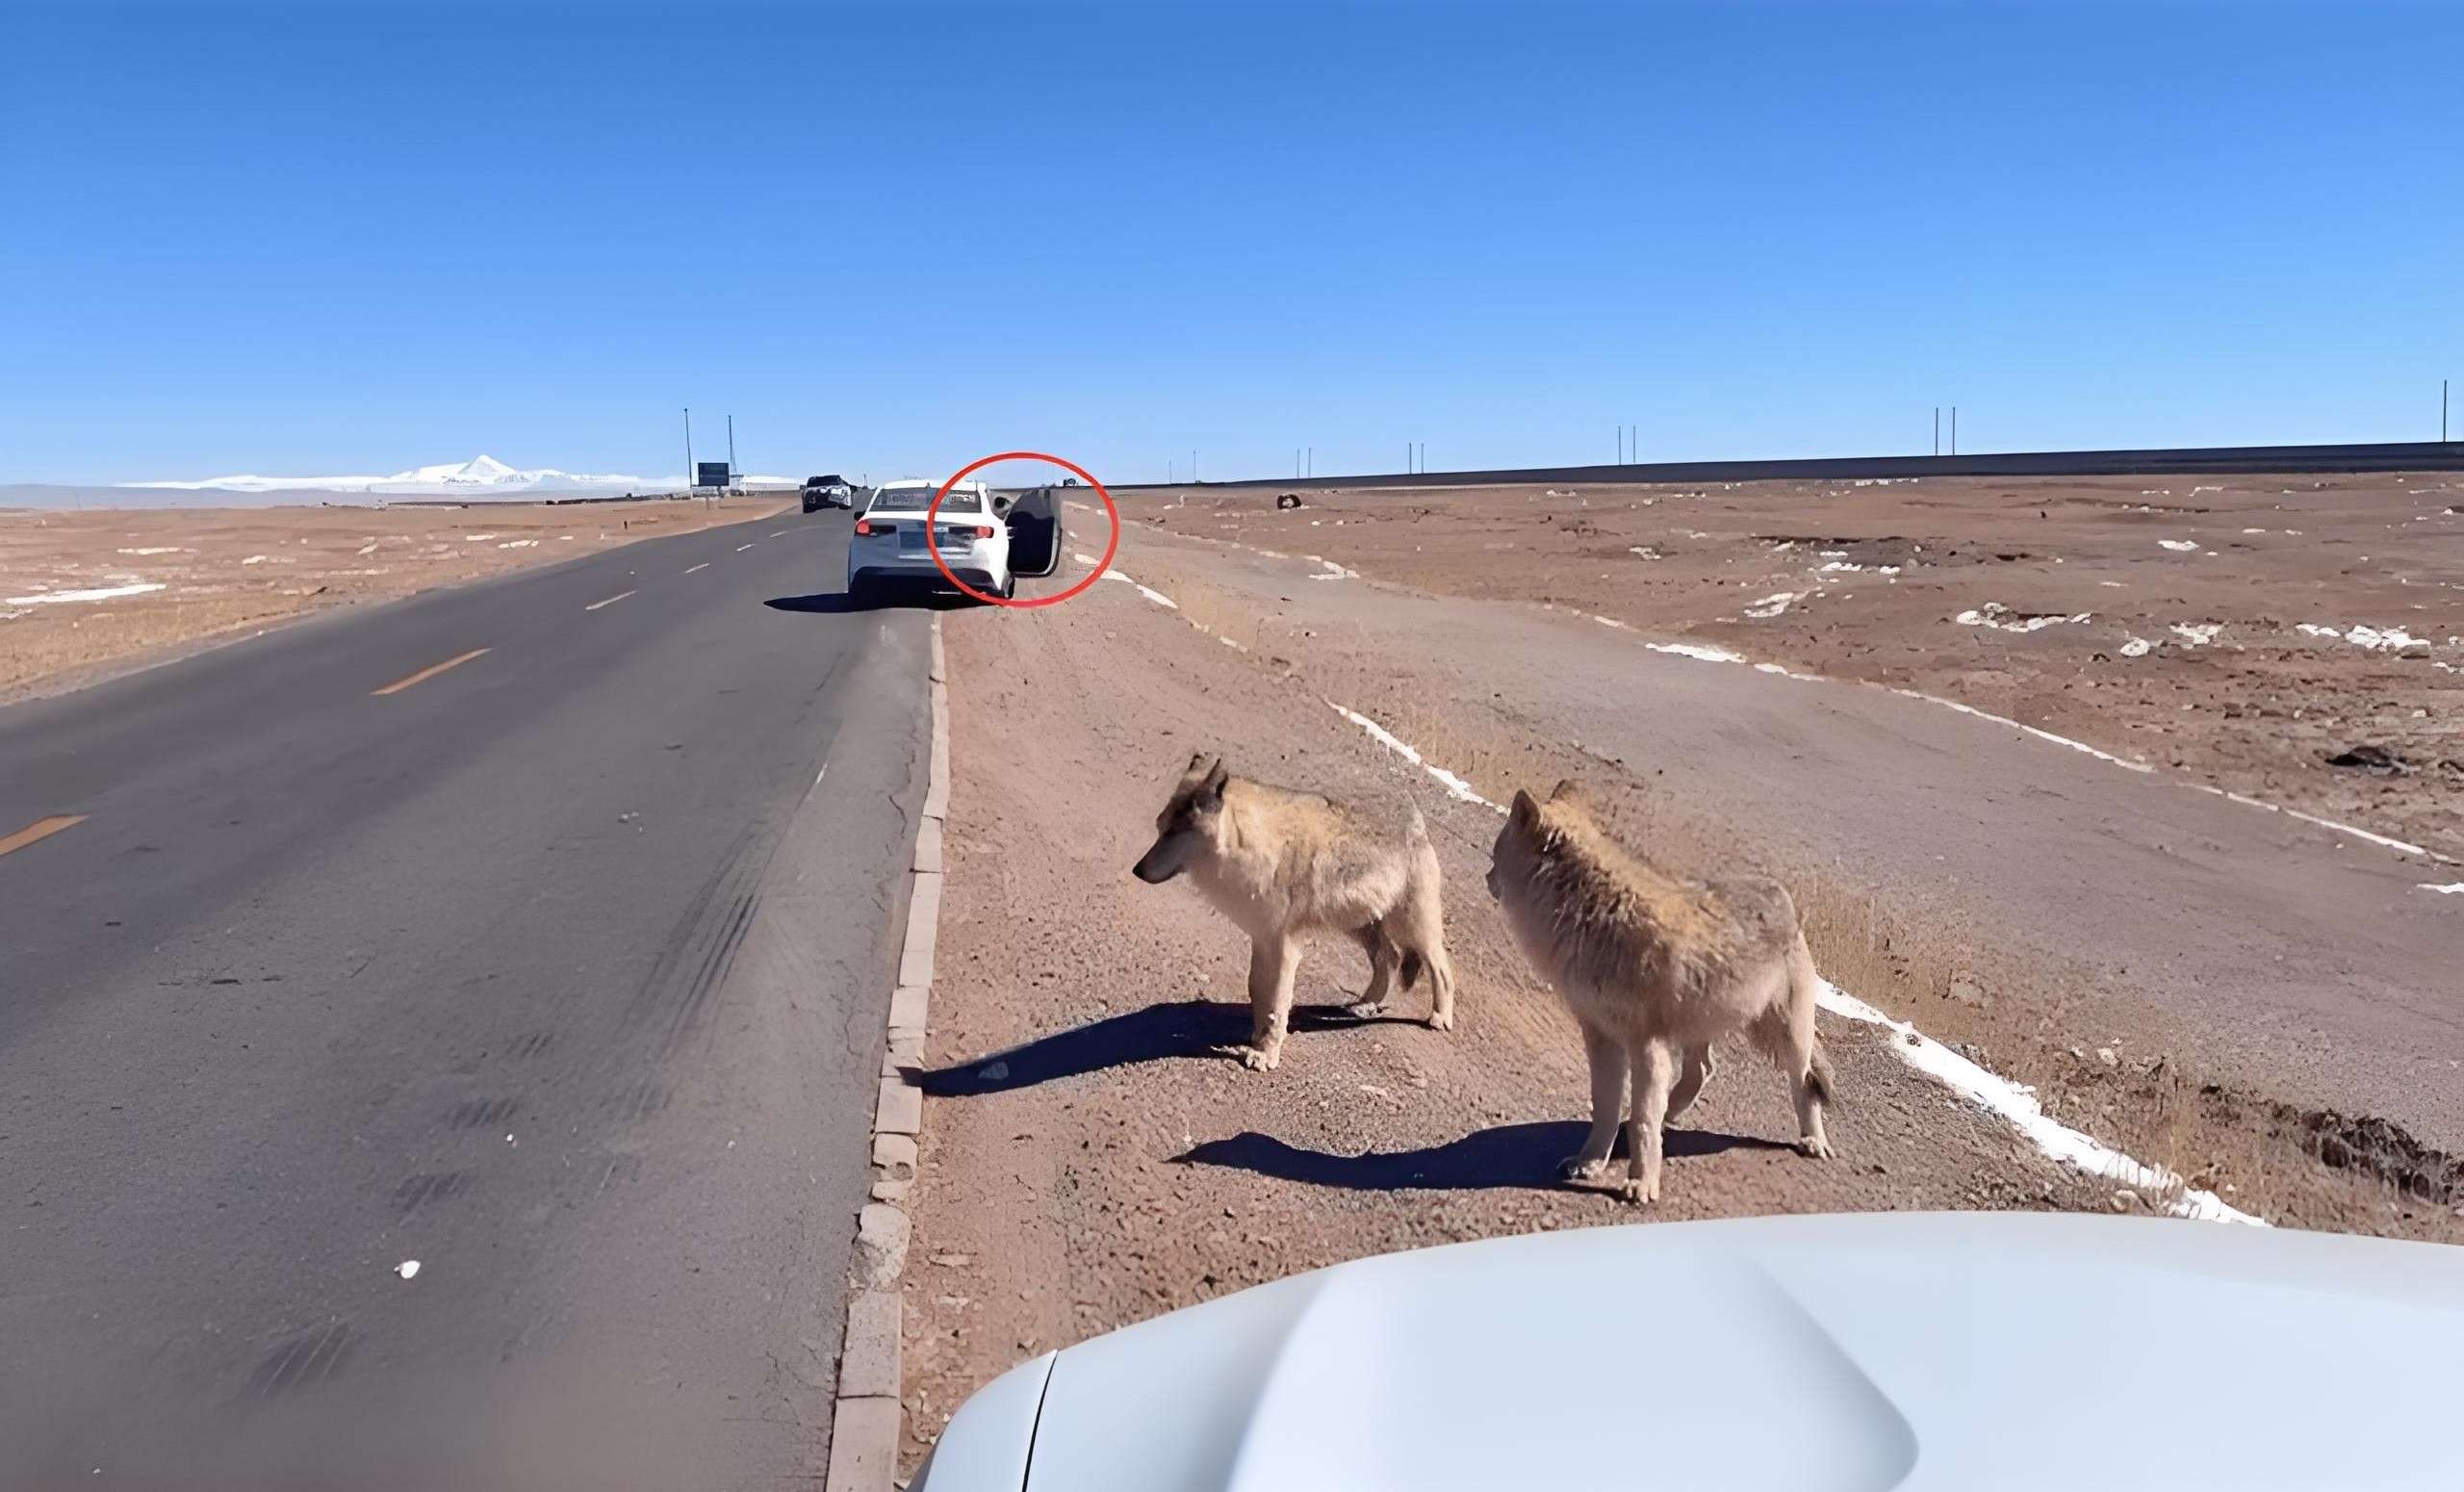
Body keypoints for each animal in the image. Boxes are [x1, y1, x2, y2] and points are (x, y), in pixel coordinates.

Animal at [1138, 754, 1458, 1069]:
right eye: (1159, 828)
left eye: (1172, 833)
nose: (1136, 871)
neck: (1255, 846)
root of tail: (1416, 818)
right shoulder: (1262, 939)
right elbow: (1258, 993)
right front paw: (1257, 1040)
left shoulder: (1285, 947)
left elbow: (1276, 1004)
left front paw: (1266, 1055)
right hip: (1359, 927)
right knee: (1389, 958)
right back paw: (1364, 1004)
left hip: (1413, 930)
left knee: (1442, 971)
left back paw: (1440, 1018)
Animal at [1478, 779, 1833, 1198]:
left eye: (1495, 852)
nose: (1486, 877)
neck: (1594, 912)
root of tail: (1781, 892)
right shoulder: (1601, 1038)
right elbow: (1606, 1108)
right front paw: (1591, 1163)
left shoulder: (1646, 1045)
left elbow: (1643, 1119)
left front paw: (1640, 1184)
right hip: (1698, 1032)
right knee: (1703, 1071)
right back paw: (1671, 1113)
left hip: (1788, 1039)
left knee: (1804, 1085)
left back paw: (1814, 1141)